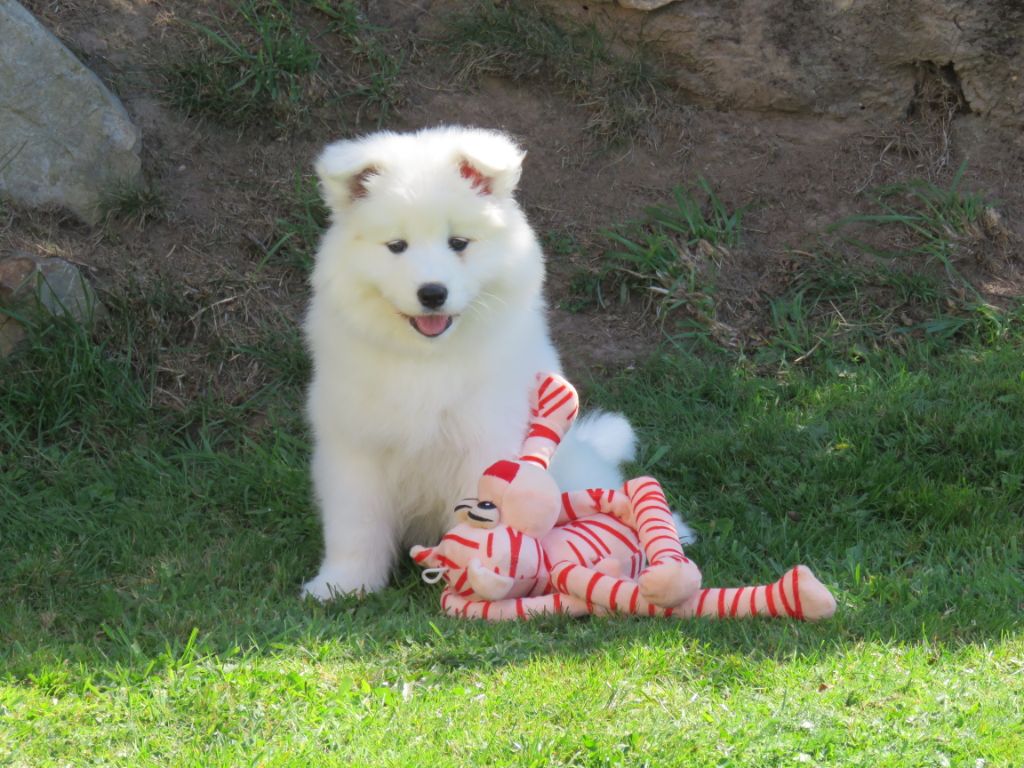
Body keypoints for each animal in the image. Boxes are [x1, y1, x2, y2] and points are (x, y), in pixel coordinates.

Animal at [299, 126, 634, 598]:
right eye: (396, 246)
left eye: (458, 243)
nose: (432, 293)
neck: (426, 359)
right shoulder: (355, 448)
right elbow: (355, 526)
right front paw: (342, 585)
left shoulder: (486, 438)